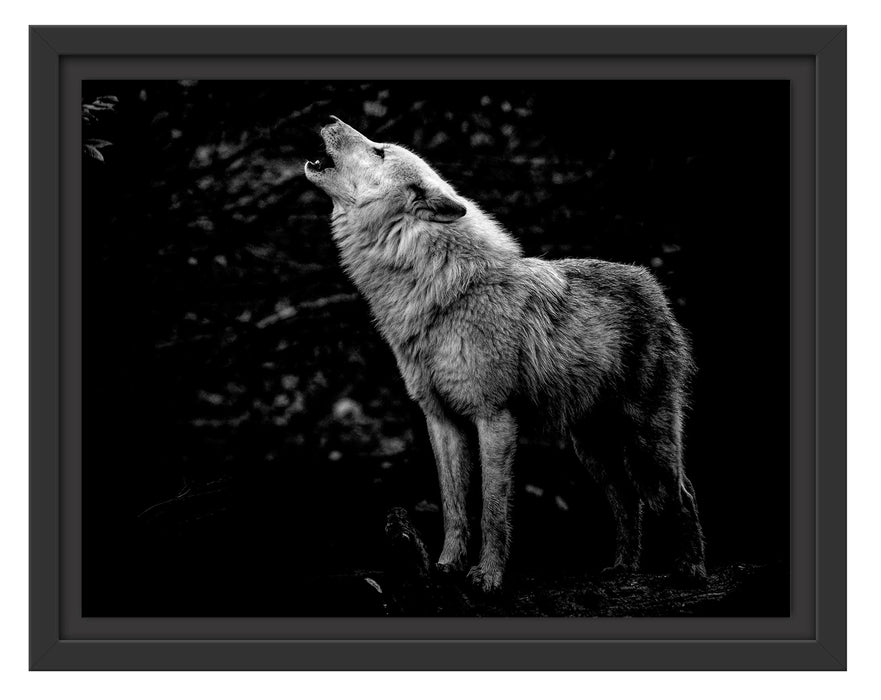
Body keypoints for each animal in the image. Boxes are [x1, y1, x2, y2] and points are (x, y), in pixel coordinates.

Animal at [305, 117, 706, 592]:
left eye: (379, 150)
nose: (330, 119)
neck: (441, 292)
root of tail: (650, 282)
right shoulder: (440, 420)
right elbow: (454, 507)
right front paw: (446, 566)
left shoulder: (494, 417)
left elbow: (493, 510)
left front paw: (488, 577)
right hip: (590, 446)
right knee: (627, 498)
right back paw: (623, 568)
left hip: (646, 437)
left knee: (681, 493)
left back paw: (691, 570)